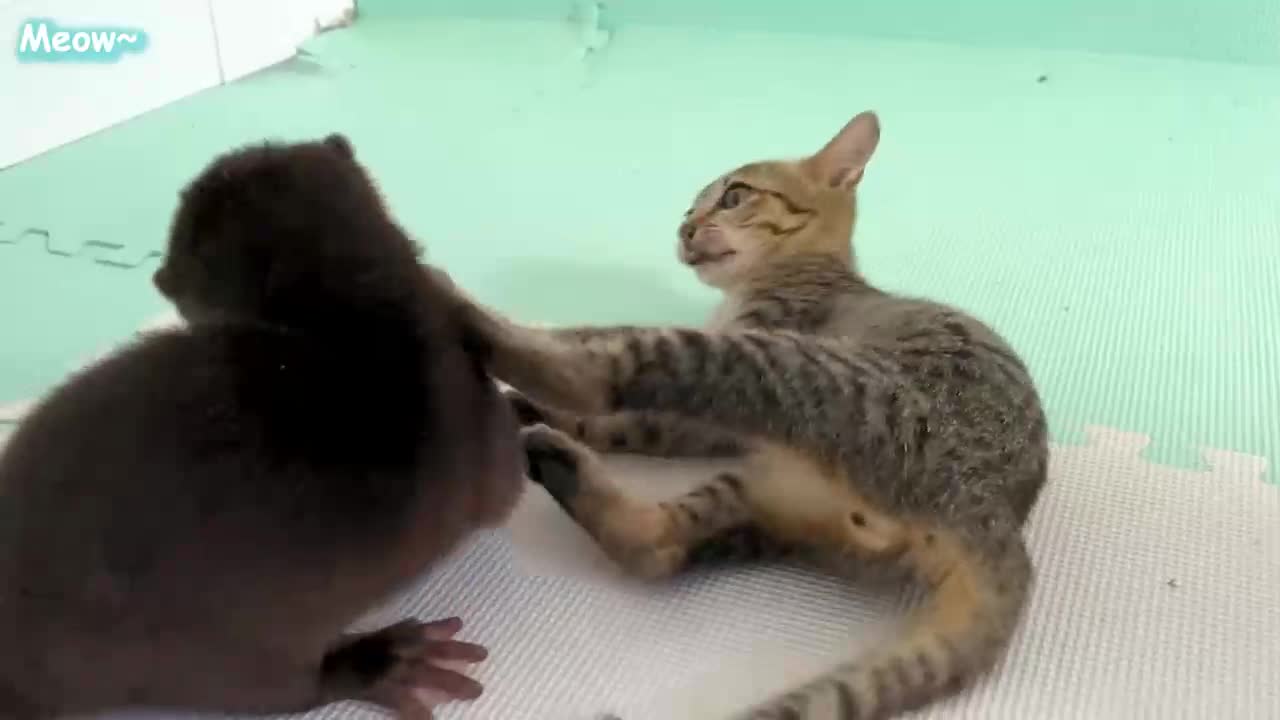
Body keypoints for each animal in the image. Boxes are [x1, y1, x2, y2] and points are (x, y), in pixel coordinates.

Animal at [463, 112, 1049, 717]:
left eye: (734, 196)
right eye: (689, 210)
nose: (685, 230)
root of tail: (990, 511)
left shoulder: (730, 374)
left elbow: (606, 384)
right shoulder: (702, 428)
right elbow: (620, 426)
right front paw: (529, 409)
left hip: (774, 368)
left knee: (598, 369)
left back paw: (474, 315)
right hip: (768, 499)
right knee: (655, 546)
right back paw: (549, 454)